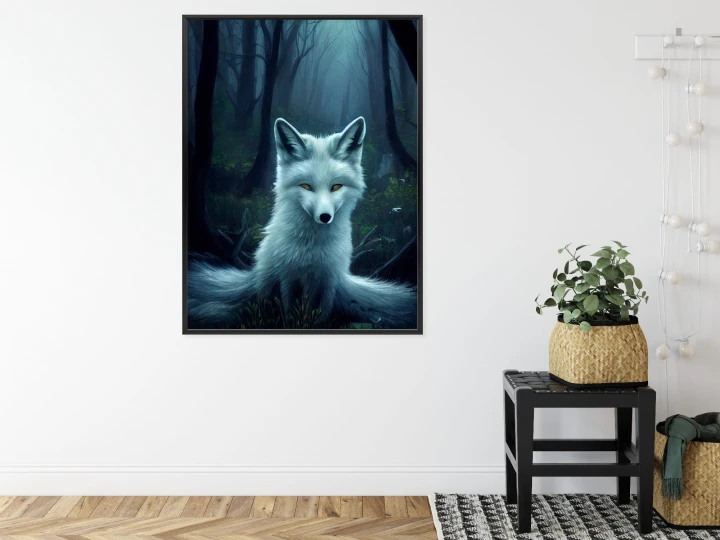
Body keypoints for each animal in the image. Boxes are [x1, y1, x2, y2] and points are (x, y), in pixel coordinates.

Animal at [187, 116, 417, 328]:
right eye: (306, 186)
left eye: (336, 187)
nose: (325, 217)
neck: (312, 249)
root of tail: (252, 278)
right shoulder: (288, 277)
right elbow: (289, 312)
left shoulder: (328, 279)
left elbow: (322, 314)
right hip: (266, 283)